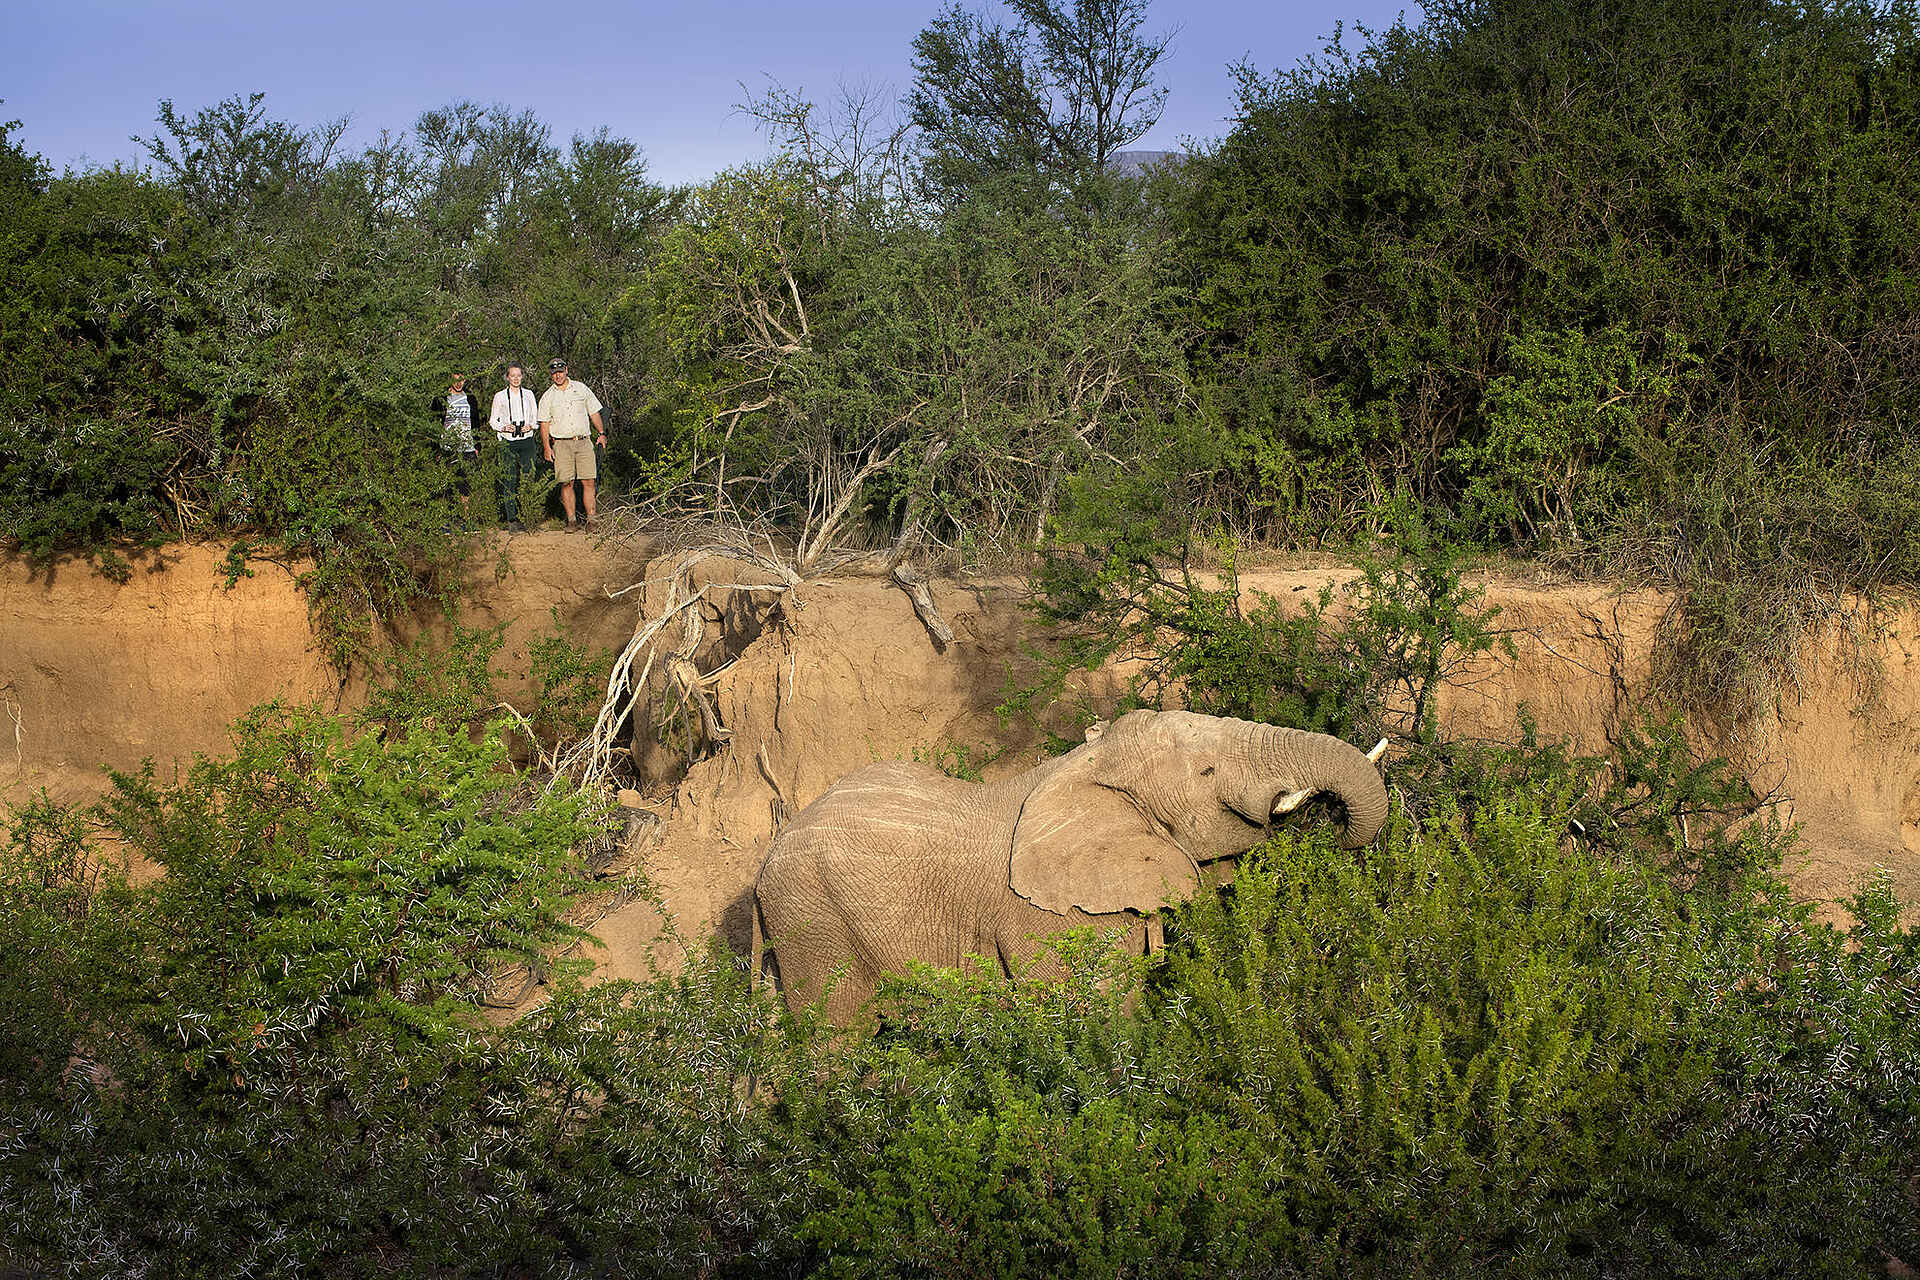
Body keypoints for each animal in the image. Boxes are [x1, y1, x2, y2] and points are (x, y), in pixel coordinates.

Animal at [752, 709, 1390, 1021]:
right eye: (1208, 772)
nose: (1333, 824)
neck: (1085, 764)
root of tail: (761, 869)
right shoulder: (1048, 918)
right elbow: (1096, 1014)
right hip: (814, 927)